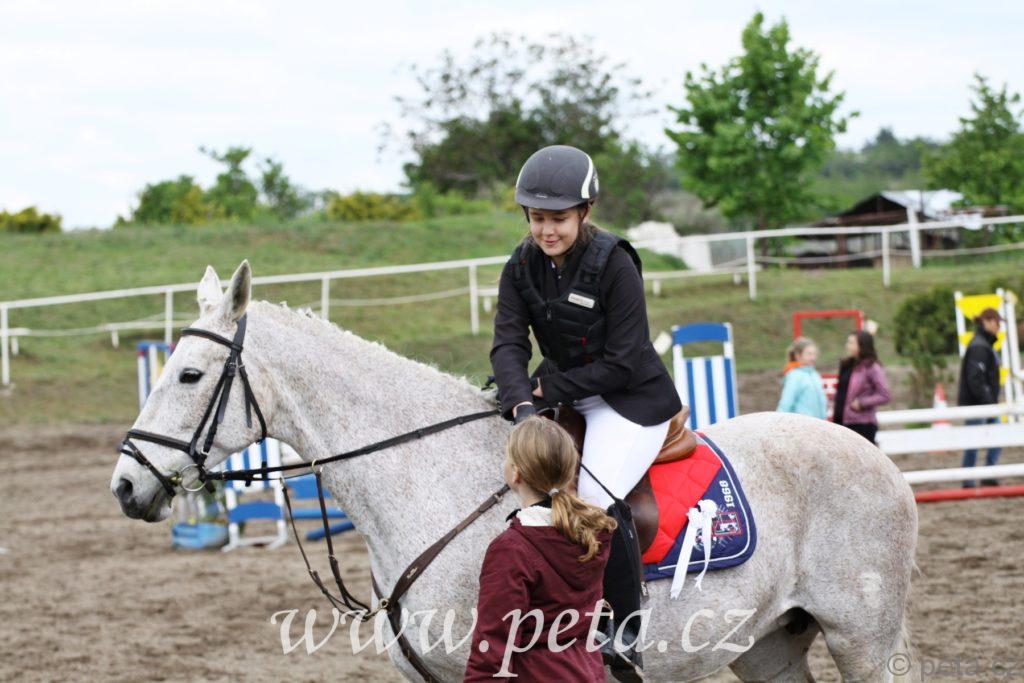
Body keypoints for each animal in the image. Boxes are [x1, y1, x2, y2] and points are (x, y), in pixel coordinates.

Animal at [111, 261, 917, 682]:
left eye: (189, 374)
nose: (125, 484)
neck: (428, 482)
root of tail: (876, 456)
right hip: (768, 643)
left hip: (862, 639)